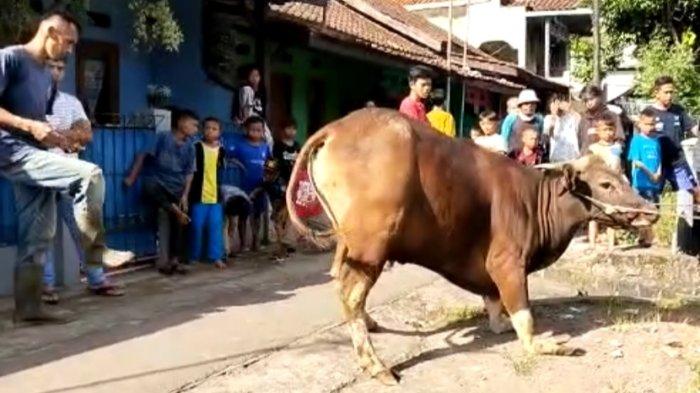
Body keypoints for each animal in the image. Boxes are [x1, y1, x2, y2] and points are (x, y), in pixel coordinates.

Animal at [284, 108, 656, 384]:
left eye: (623, 178)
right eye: (605, 184)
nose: (650, 210)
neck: (534, 199)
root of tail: (336, 128)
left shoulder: (487, 269)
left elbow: (495, 302)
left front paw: (499, 323)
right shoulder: (507, 261)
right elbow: (524, 317)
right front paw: (544, 345)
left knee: (343, 283)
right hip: (372, 246)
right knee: (350, 293)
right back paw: (376, 365)